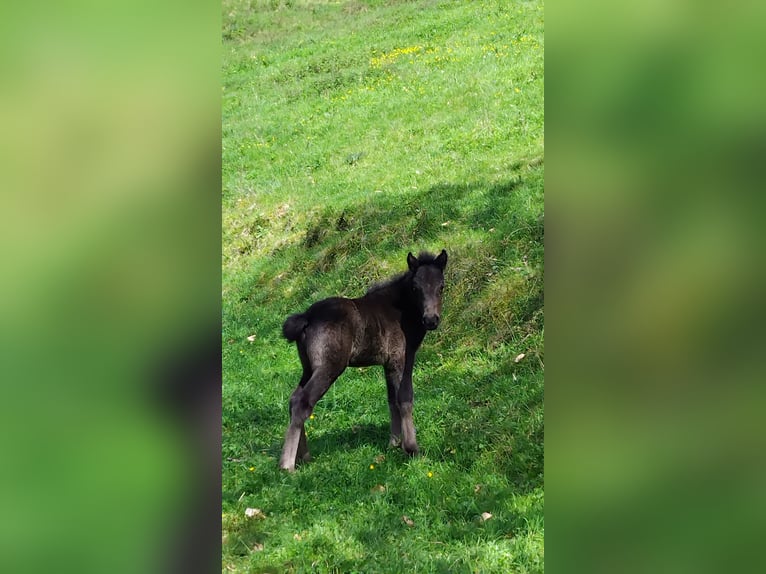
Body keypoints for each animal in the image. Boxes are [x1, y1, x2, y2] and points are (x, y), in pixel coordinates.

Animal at [278, 249, 448, 471]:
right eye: (415, 288)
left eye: (441, 286)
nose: (431, 320)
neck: (402, 310)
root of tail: (307, 317)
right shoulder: (402, 358)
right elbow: (404, 398)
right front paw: (411, 448)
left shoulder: (387, 364)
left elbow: (391, 399)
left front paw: (394, 443)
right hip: (329, 367)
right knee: (302, 402)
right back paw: (287, 465)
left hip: (308, 368)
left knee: (293, 399)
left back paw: (304, 457)